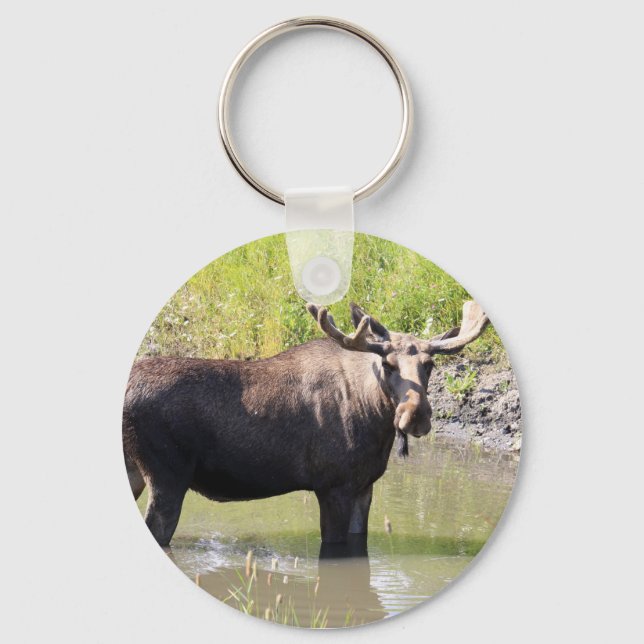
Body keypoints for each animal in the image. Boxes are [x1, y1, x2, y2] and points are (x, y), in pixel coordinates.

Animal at [123, 300, 488, 547]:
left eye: (430, 364)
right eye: (387, 363)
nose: (416, 415)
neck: (374, 417)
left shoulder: (363, 486)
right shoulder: (333, 486)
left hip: (135, 469)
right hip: (167, 476)